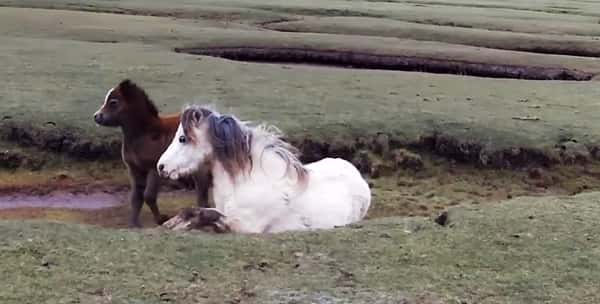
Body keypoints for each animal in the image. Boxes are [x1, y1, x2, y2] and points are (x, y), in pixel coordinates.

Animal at [155, 105, 370, 234]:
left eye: (183, 138)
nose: (161, 167)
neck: (249, 182)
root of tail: (356, 174)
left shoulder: (243, 226)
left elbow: (207, 214)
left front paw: (177, 224)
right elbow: (198, 210)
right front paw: (173, 223)